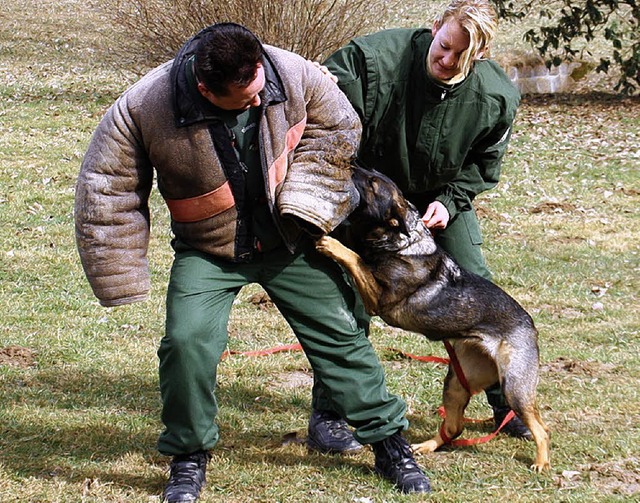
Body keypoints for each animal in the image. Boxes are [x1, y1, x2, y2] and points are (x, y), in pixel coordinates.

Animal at [316, 165, 552, 472]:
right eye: (373, 172)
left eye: (373, 183)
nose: (354, 163)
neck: (400, 240)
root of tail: (530, 324)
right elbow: (357, 253)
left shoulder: (378, 301)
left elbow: (355, 258)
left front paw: (330, 243)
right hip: (456, 384)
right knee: (454, 427)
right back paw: (426, 446)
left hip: (514, 387)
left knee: (541, 428)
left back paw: (541, 462)